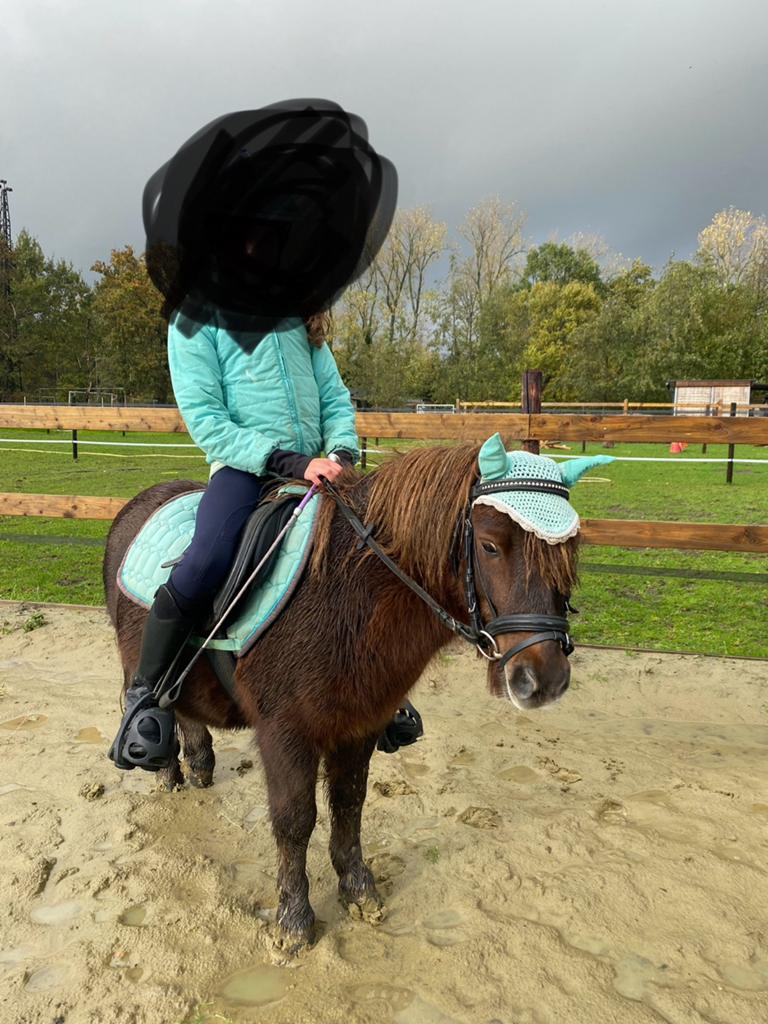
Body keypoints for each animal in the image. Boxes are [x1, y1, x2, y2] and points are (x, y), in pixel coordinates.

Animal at [102, 441, 579, 953]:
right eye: (490, 545)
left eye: (570, 551)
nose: (544, 679)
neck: (347, 595)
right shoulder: (284, 733)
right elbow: (294, 820)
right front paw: (294, 919)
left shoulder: (360, 723)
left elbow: (349, 804)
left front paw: (358, 888)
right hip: (138, 660)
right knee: (150, 692)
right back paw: (163, 761)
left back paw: (198, 763)